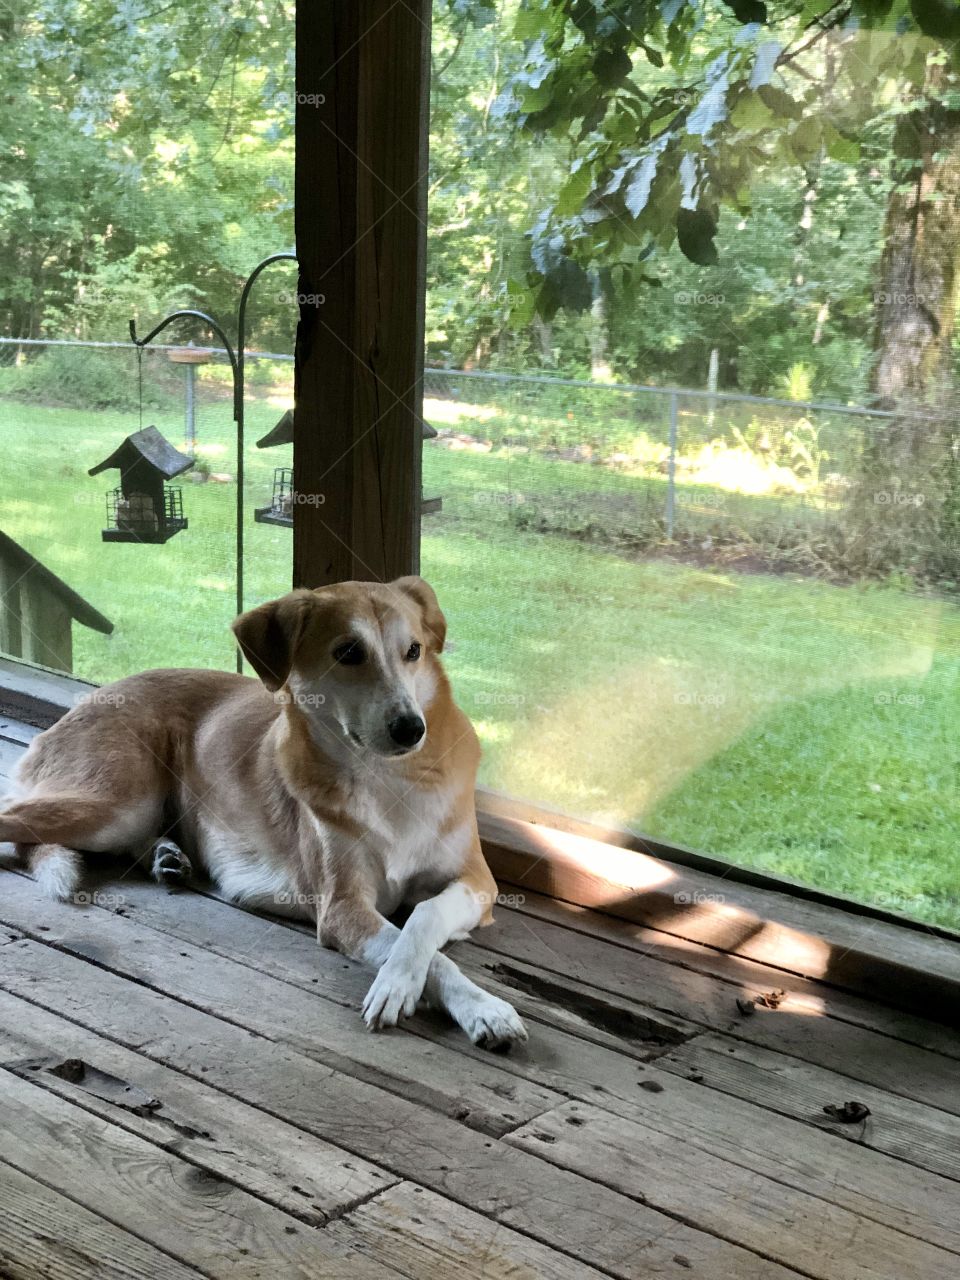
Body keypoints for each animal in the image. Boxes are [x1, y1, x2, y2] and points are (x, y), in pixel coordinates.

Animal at [0, 578, 527, 1049]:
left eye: (413, 650)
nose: (410, 728)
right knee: (14, 816)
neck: (387, 778)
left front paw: (475, 1005)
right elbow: (423, 951)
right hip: (113, 803)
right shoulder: (341, 907)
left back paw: (167, 856)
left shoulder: (477, 881)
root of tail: (91, 696)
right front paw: (432, 993)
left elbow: (423, 916)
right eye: (348, 652)